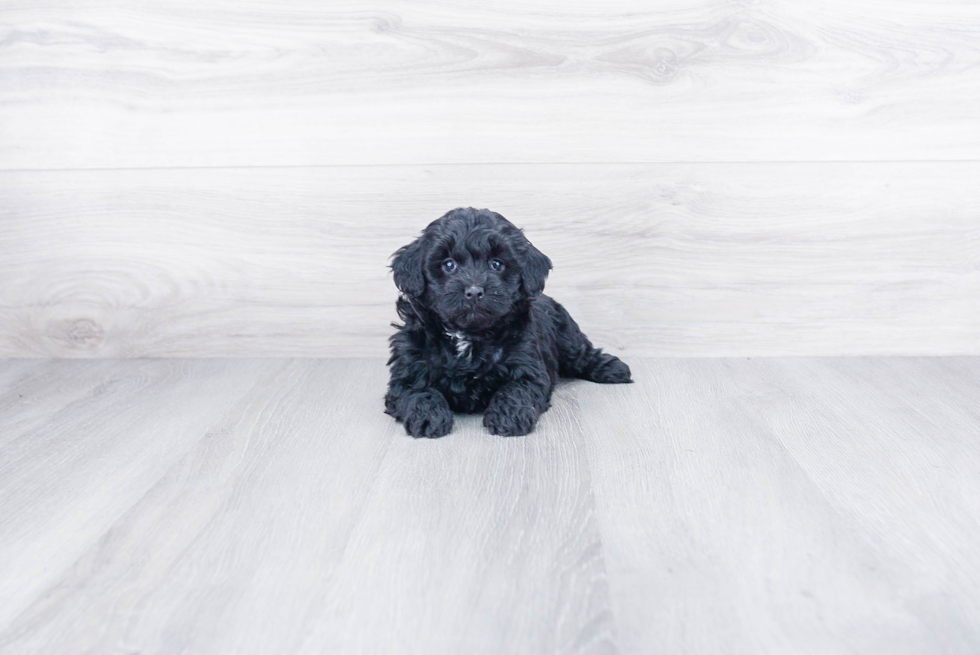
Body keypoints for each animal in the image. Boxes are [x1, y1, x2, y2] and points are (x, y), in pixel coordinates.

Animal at [382, 208, 628, 438]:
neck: (469, 336)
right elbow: (419, 390)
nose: (474, 290)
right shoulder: (409, 368)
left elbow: (516, 389)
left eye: (496, 264)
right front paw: (428, 416)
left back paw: (614, 369)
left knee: (582, 354)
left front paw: (509, 416)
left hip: (567, 336)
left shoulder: (526, 364)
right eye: (449, 265)